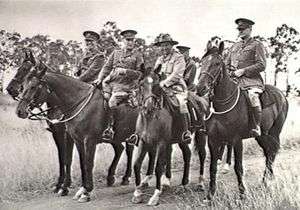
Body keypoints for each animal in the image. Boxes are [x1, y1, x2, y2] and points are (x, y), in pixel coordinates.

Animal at [131, 72, 209, 205]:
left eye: (157, 86)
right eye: (141, 84)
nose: (149, 106)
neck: (150, 118)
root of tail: (202, 100)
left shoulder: (161, 143)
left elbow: (158, 167)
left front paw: (155, 195)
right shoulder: (143, 141)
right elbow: (136, 164)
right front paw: (137, 193)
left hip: (200, 134)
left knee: (202, 155)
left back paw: (200, 183)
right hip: (181, 139)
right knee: (187, 154)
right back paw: (183, 184)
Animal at [197, 38, 288, 201]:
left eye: (217, 63)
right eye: (202, 62)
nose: (200, 88)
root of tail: (282, 94)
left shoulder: (236, 139)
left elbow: (238, 167)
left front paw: (242, 193)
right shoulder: (213, 139)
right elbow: (212, 167)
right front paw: (210, 194)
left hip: (274, 132)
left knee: (272, 152)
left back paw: (268, 181)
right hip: (262, 135)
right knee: (269, 152)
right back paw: (265, 181)